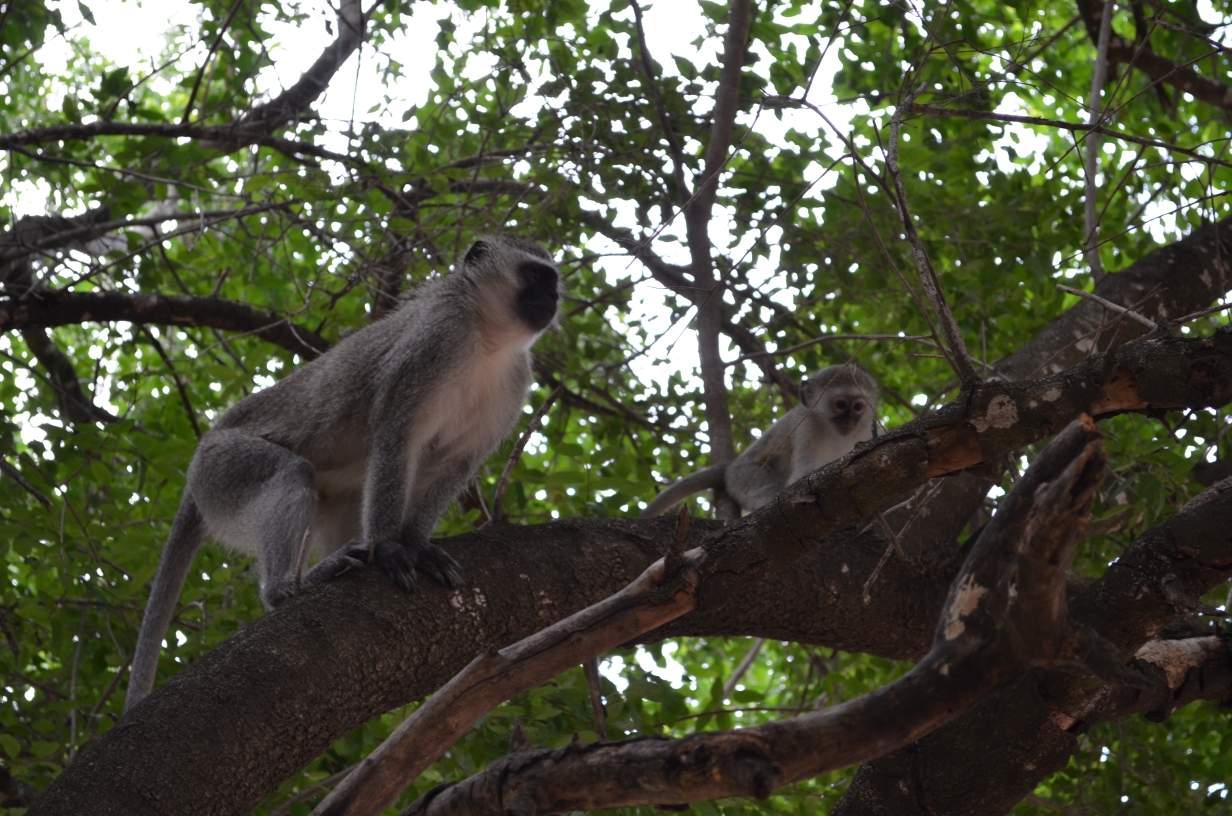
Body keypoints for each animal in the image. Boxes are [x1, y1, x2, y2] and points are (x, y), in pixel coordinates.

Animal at [126, 235, 564, 709]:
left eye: (553, 280)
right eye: (536, 275)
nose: (554, 298)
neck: (487, 340)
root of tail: (198, 464)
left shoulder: (514, 382)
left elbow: (455, 464)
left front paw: (417, 544)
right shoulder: (435, 340)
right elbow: (395, 437)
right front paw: (391, 547)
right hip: (221, 468)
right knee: (290, 473)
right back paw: (285, 589)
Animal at [640, 364, 882, 517]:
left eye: (858, 407)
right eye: (841, 405)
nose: (849, 420)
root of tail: (730, 469)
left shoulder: (869, 429)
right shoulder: (807, 428)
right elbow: (802, 480)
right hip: (742, 478)